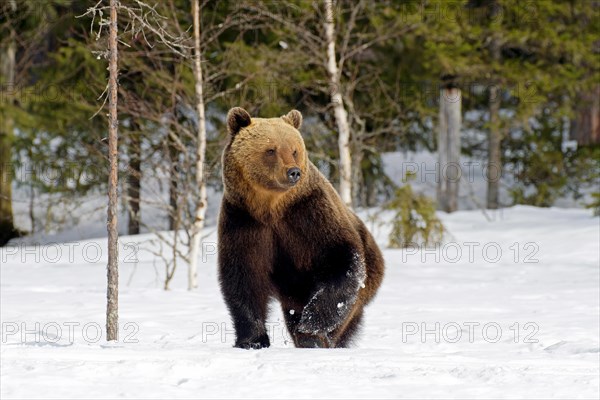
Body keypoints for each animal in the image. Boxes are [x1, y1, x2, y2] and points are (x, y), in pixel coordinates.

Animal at [219, 108, 384, 348]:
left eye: (294, 150)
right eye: (271, 150)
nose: (293, 172)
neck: (271, 208)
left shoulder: (310, 215)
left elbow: (342, 261)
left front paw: (310, 327)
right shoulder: (244, 221)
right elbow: (243, 276)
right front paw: (252, 339)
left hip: (367, 279)